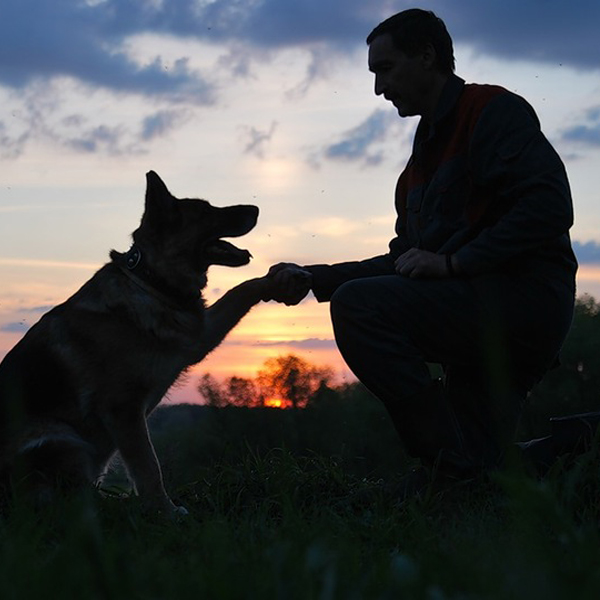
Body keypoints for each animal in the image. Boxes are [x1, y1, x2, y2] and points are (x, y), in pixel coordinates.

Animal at [0, 170, 274, 516]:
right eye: (205, 210)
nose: (256, 208)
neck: (150, 281)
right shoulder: (124, 409)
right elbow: (148, 467)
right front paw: (165, 513)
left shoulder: (198, 338)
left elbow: (240, 290)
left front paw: (277, 280)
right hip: (58, 437)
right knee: (67, 501)